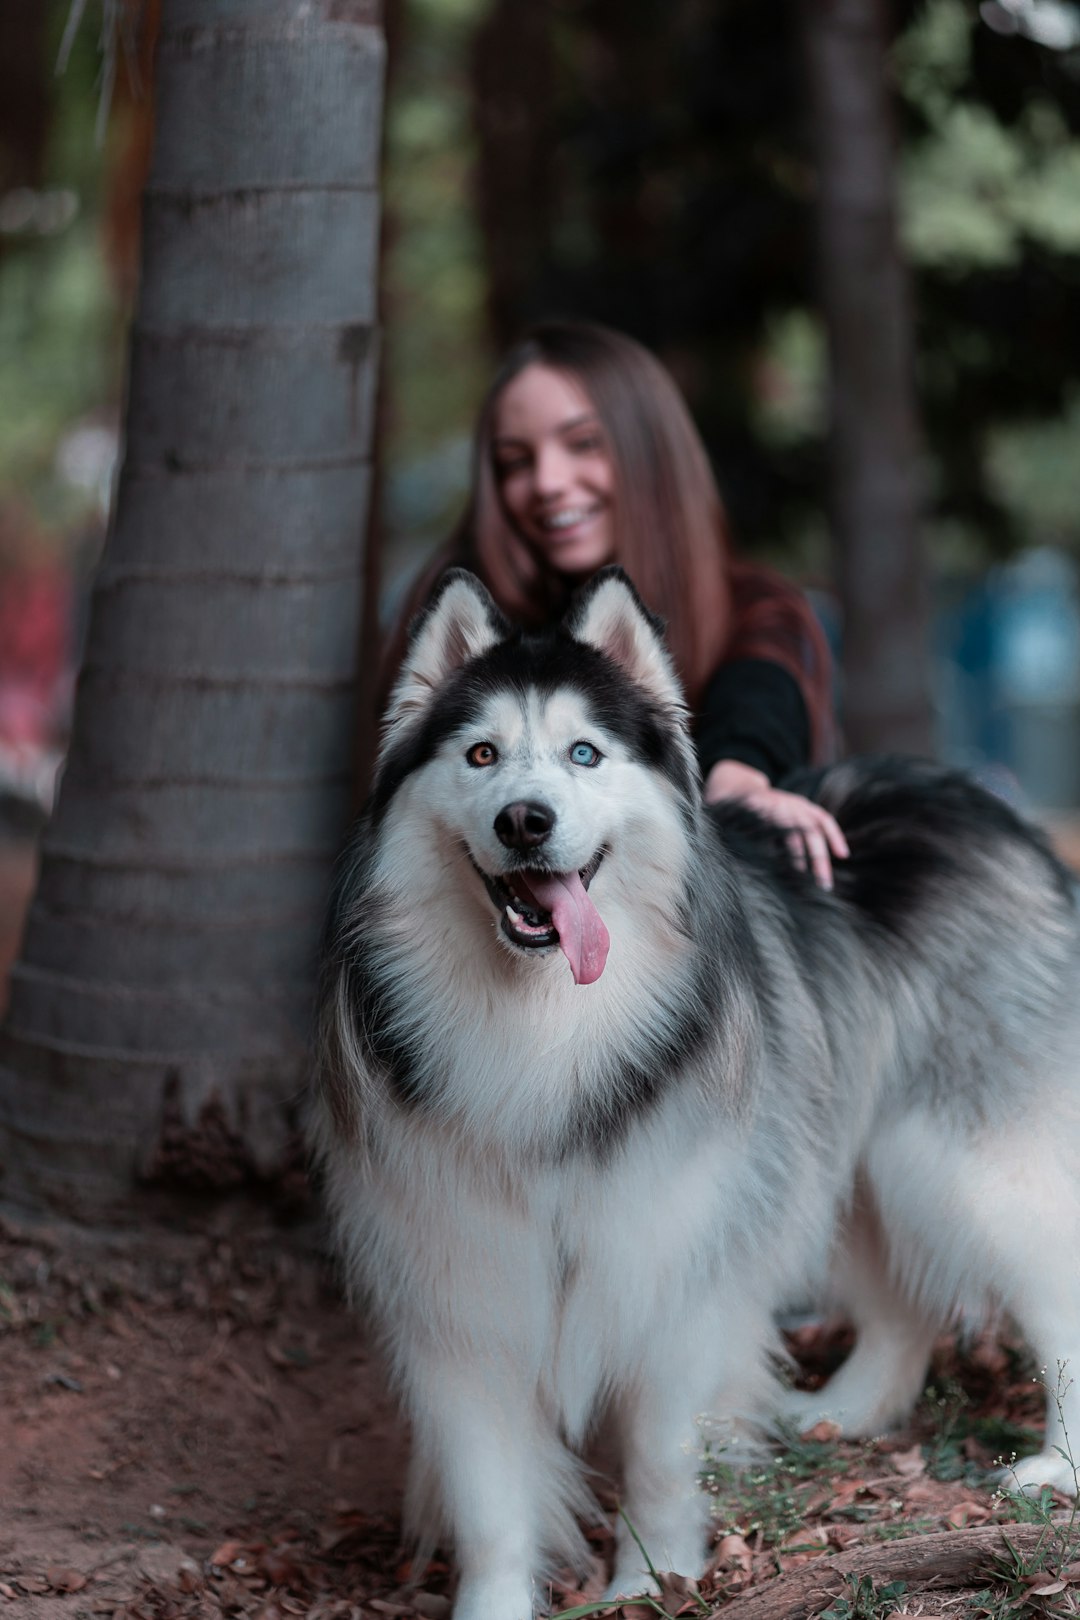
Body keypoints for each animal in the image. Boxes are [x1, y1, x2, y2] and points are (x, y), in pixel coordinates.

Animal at [310, 570, 1080, 1620]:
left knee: (1054, 1285)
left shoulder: (672, 1256)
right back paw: (840, 1413)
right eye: (481, 755)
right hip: (845, 1144)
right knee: (898, 1296)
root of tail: (982, 801)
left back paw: (1054, 1470)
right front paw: (498, 1603)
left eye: (584, 754)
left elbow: (660, 1456)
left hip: (966, 1160)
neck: (546, 1029)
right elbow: (490, 1501)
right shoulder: (465, 1279)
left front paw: (654, 1579)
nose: (524, 820)